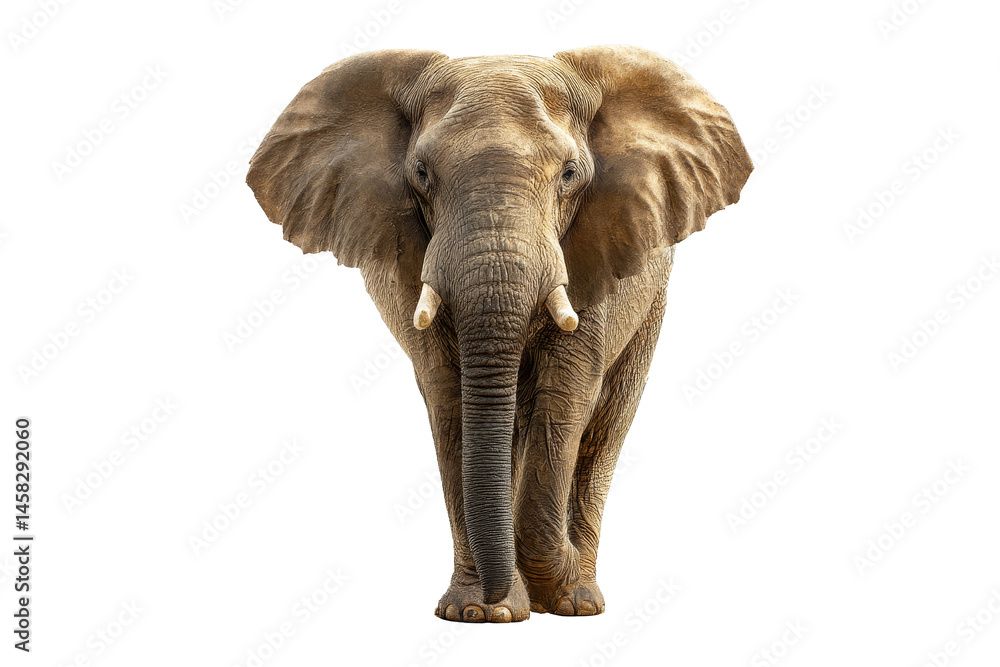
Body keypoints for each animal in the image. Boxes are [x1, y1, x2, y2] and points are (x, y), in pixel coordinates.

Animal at [246, 44, 752, 623]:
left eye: (570, 173)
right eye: (421, 173)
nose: (496, 596)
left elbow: (568, 394)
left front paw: (550, 596)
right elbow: (451, 401)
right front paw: (480, 613)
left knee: (605, 422)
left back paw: (579, 601)